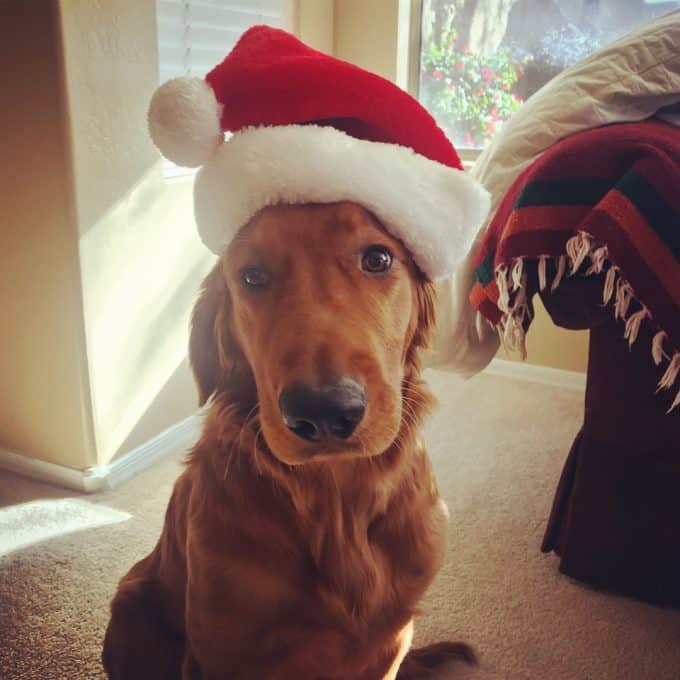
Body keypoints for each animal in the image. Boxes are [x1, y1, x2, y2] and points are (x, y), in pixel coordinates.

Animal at [102, 199, 472, 676]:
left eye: (378, 258)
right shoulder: (219, 649)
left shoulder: (391, 638)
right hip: (129, 608)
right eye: (251, 276)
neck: (337, 503)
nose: (324, 411)